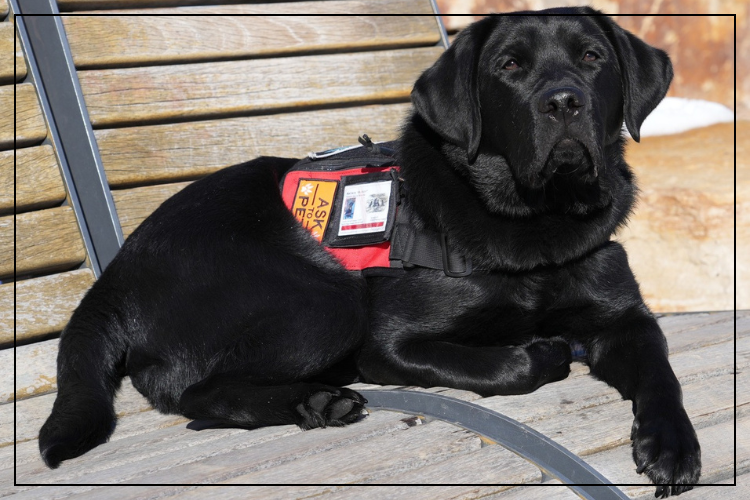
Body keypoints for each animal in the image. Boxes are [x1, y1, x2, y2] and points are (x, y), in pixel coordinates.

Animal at [38, 7, 704, 496]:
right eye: (510, 66)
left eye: (593, 58)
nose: (563, 101)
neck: (536, 224)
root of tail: (115, 274)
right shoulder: (386, 342)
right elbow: (507, 364)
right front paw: (540, 351)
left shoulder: (625, 319)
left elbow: (661, 372)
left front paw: (672, 446)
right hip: (327, 301)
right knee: (194, 392)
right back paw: (316, 398)